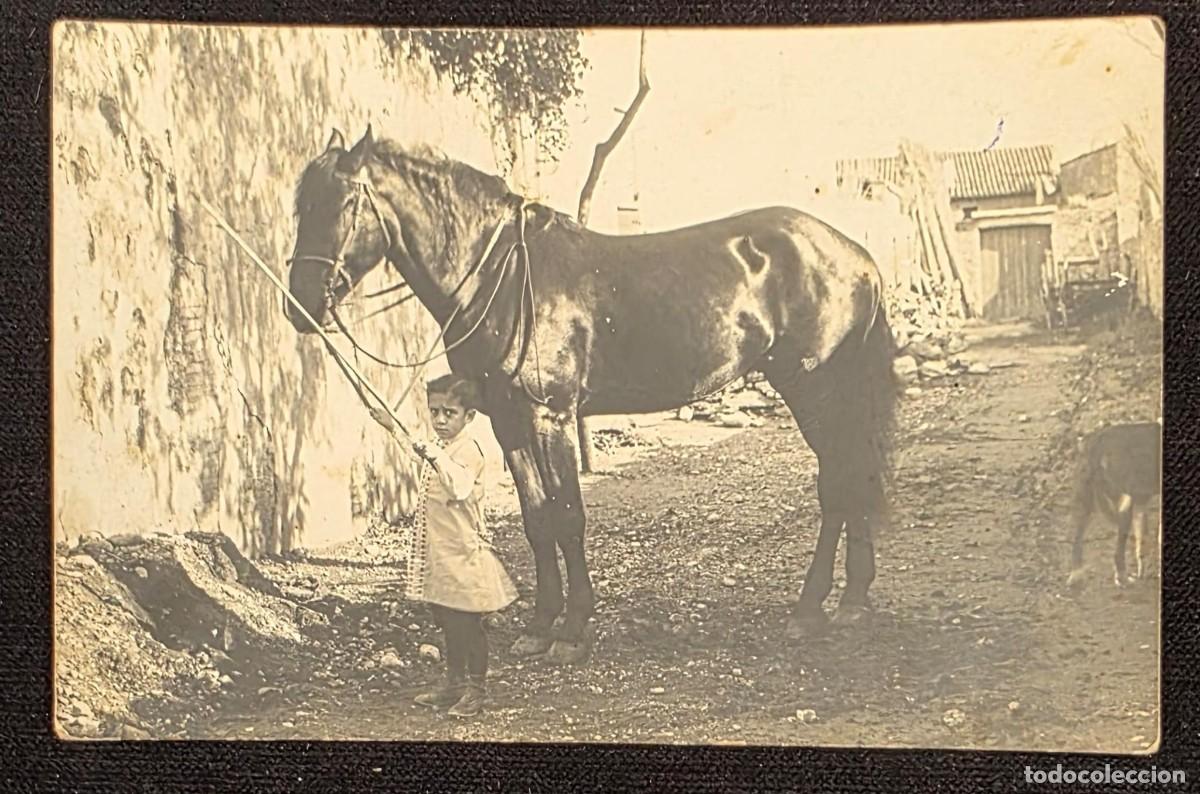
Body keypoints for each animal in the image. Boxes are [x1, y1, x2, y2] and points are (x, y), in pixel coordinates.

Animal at [284, 125, 899, 665]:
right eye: (300, 206)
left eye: (344, 204)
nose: (300, 304)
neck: (504, 276)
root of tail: (857, 255)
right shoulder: (507, 419)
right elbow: (536, 519)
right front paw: (539, 625)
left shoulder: (550, 415)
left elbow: (568, 516)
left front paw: (573, 629)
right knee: (851, 476)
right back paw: (852, 599)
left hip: (815, 389)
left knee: (838, 483)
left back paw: (813, 607)